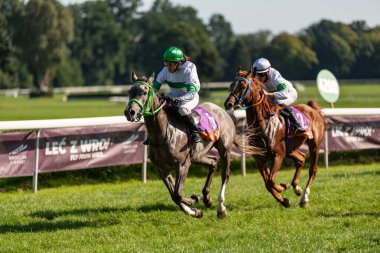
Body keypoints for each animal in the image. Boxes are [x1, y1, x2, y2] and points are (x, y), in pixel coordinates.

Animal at [123, 72, 260, 217]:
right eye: (130, 92)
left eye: (144, 92)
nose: (130, 112)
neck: (162, 133)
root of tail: (223, 111)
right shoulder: (162, 169)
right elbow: (174, 195)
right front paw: (195, 210)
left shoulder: (183, 163)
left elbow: (177, 194)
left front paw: (194, 200)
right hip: (197, 156)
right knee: (213, 162)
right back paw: (207, 198)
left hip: (224, 149)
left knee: (225, 175)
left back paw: (221, 208)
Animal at [224, 67, 326, 208]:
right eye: (231, 86)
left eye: (243, 86)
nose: (228, 104)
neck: (262, 124)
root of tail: (312, 109)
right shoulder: (260, 159)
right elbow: (267, 183)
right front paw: (284, 200)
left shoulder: (278, 155)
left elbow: (271, 180)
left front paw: (284, 187)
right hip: (290, 149)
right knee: (301, 158)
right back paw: (296, 188)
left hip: (314, 145)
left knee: (313, 170)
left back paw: (304, 198)